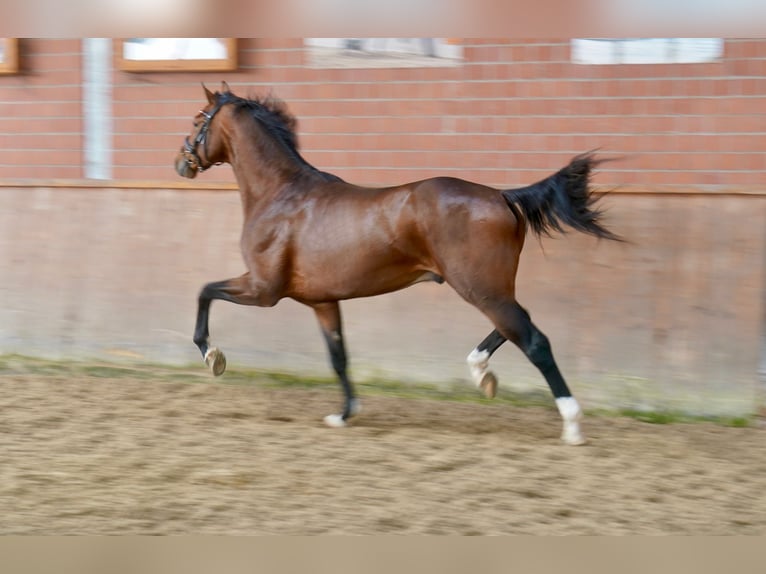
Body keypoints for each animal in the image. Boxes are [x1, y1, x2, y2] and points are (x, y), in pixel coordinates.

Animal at [176, 83, 624, 448]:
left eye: (199, 119)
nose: (181, 162)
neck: (281, 194)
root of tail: (502, 196)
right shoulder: (322, 302)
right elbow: (339, 358)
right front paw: (344, 414)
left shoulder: (263, 289)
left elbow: (203, 292)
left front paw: (213, 356)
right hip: (490, 287)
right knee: (517, 324)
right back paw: (483, 375)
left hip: (478, 287)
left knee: (533, 339)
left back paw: (571, 425)